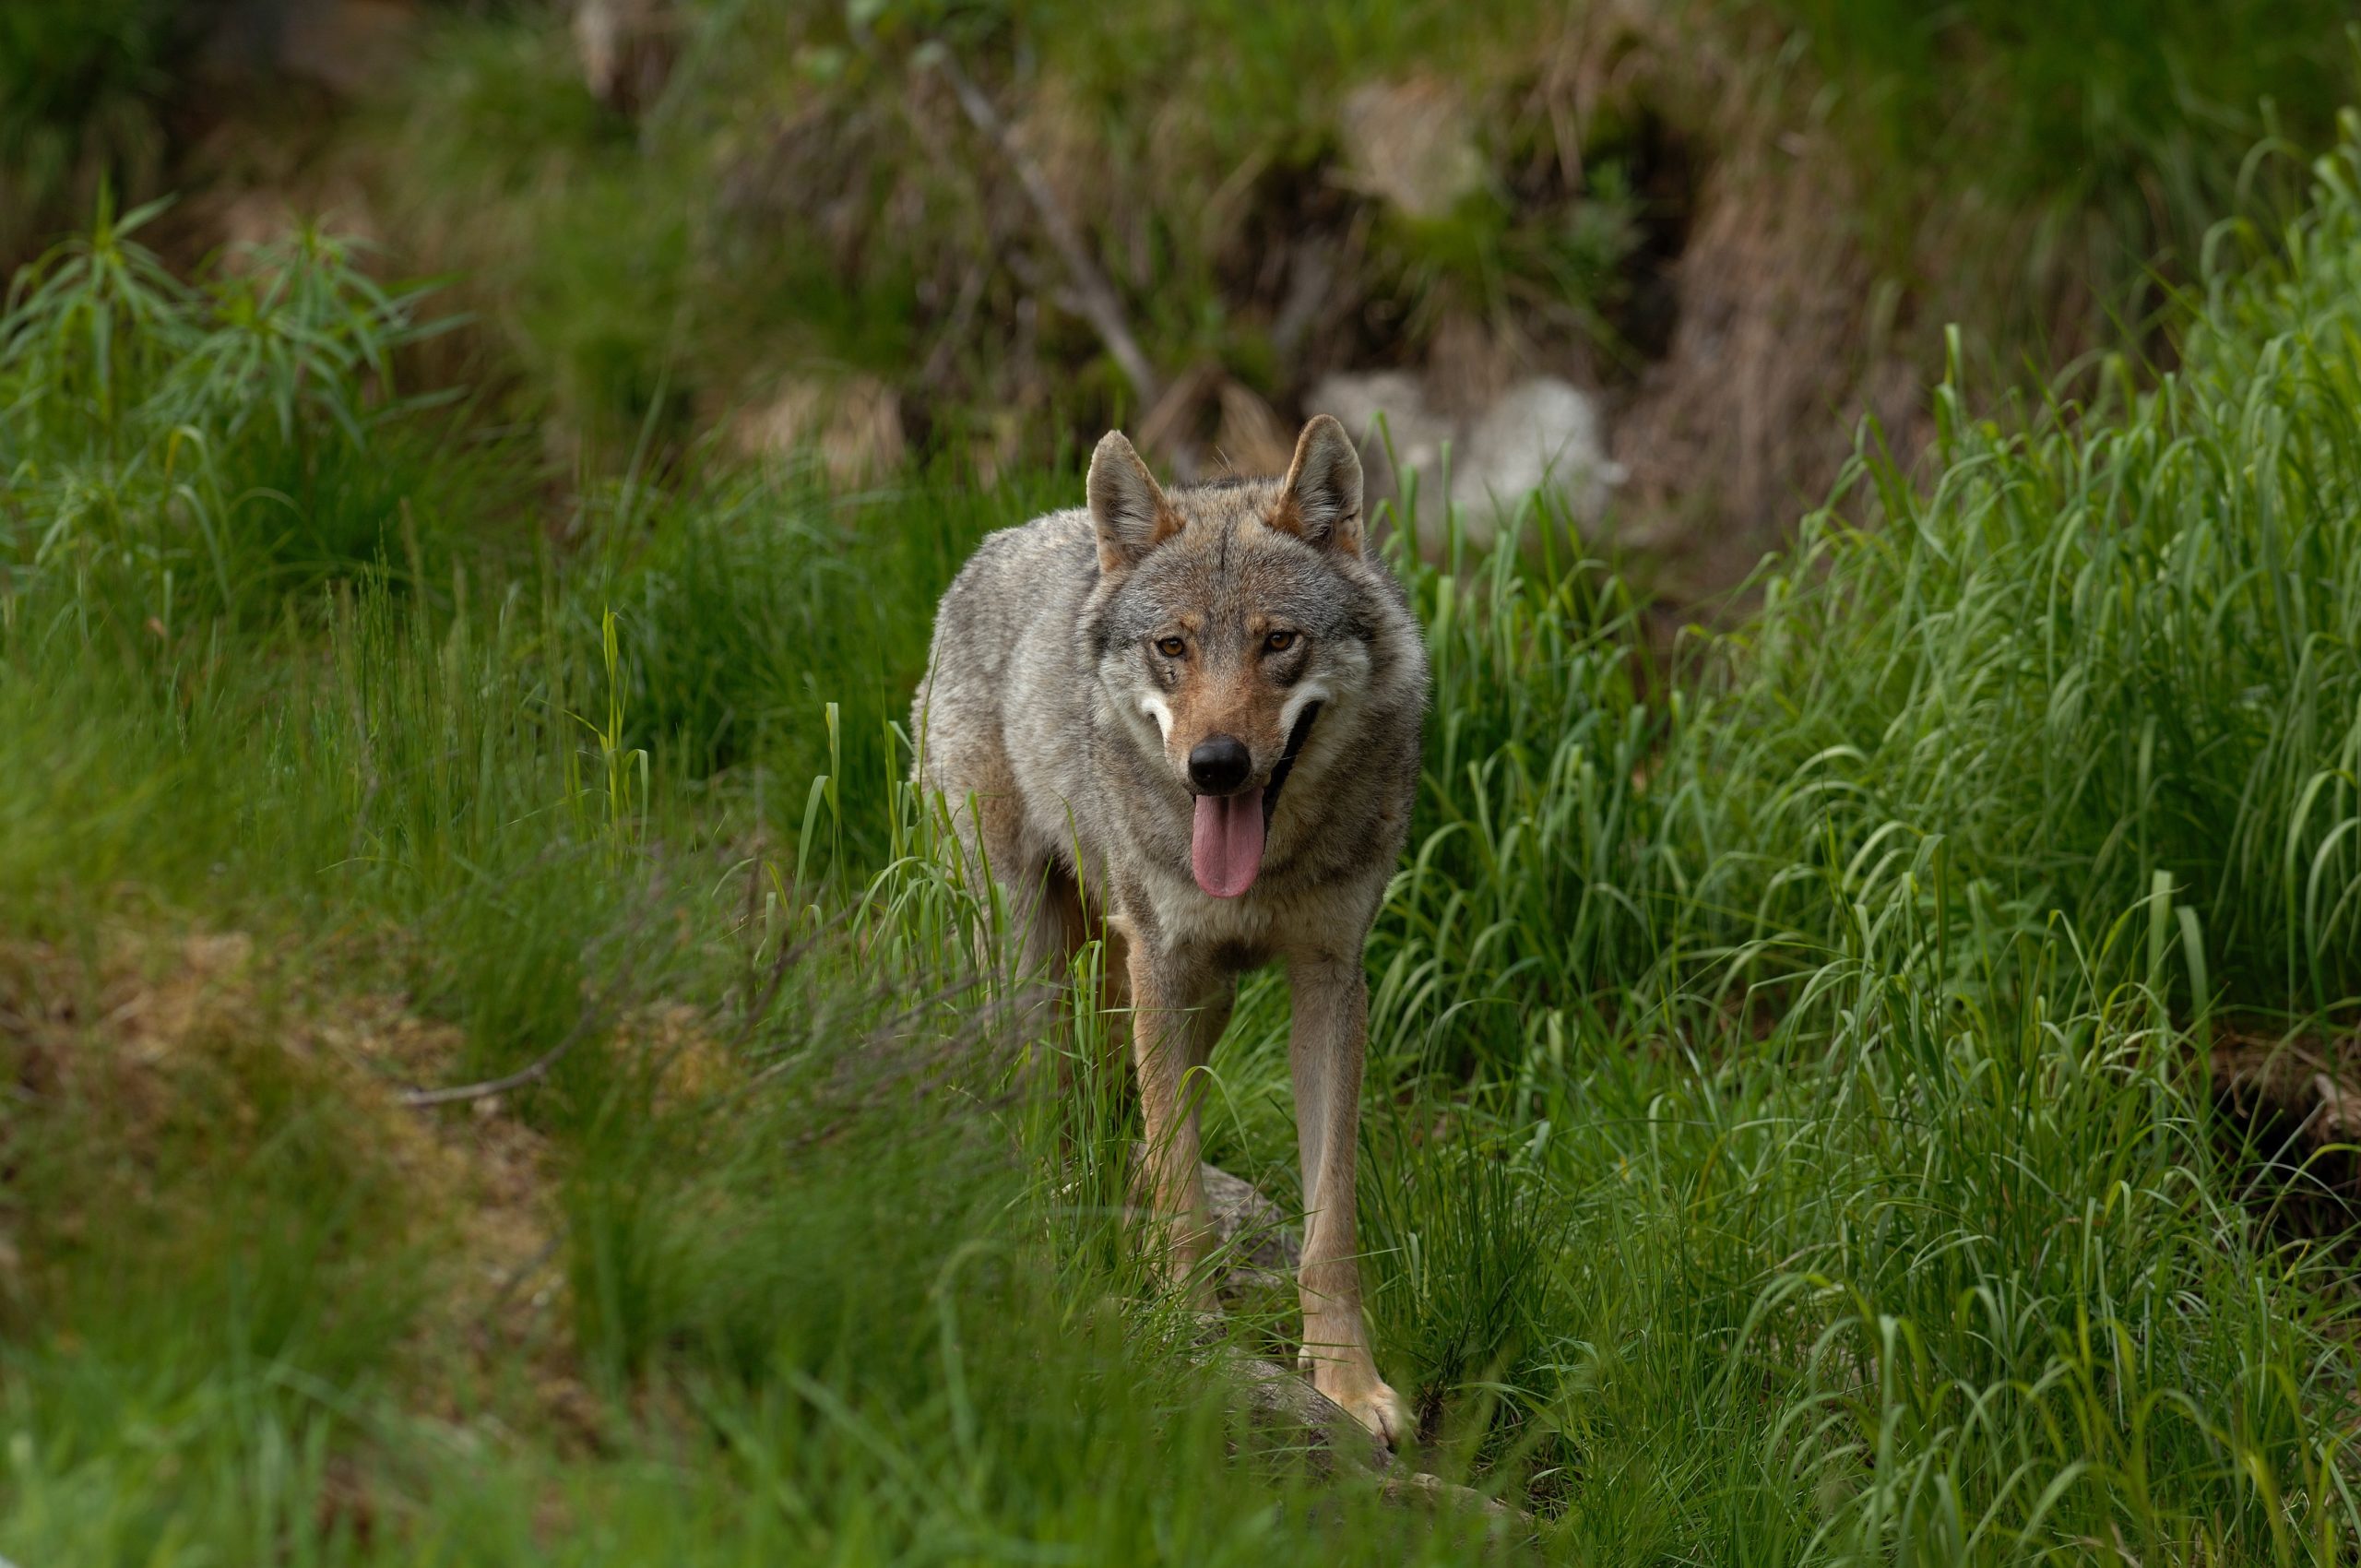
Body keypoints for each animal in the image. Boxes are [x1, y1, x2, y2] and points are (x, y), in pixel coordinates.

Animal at [911, 415, 1426, 1444]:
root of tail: (997, 542)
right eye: (1172, 646)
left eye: (1278, 641)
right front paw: (1190, 1333)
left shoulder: (1327, 980)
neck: (1269, 865)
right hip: (1035, 968)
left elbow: (1328, 1221)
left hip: (1194, 996)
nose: (1215, 765)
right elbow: (1186, 1184)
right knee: (1044, 1114)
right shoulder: (1163, 961)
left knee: (1125, 1121)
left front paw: (1350, 1385)